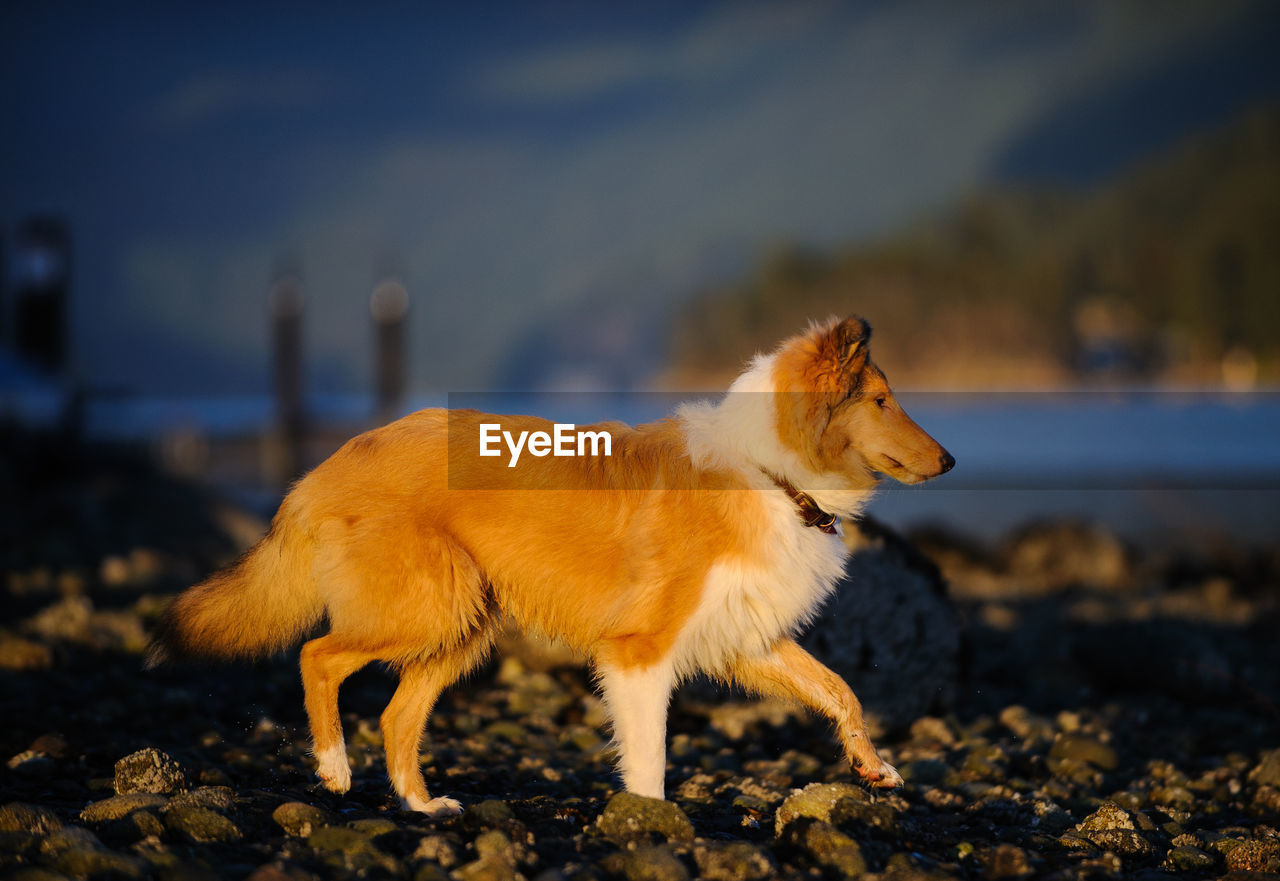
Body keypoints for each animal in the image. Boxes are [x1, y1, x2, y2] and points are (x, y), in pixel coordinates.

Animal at [147, 313, 952, 814]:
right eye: (883, 399)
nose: (948, 461)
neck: (770, 471)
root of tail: (326, 465)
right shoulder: (639, 650)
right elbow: (650, 755)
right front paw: (652, 822)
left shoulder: (746, 636)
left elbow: (842, 690)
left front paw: (874, 767)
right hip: (430, 605)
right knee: (317, 655)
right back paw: (334, 766)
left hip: (465, 620)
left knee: (398, 713)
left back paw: (422, 804)